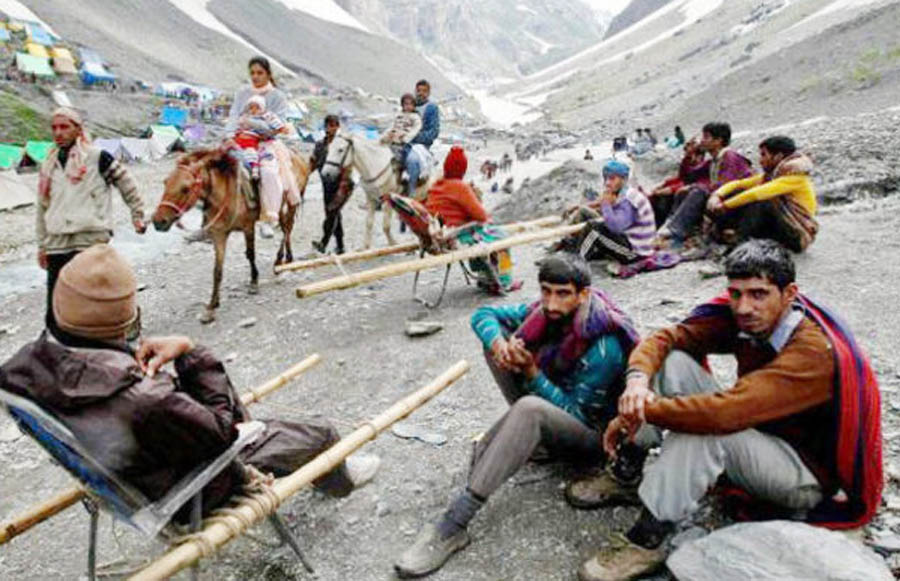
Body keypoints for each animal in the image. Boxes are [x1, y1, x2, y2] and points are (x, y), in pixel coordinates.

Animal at [151, 146, 310, 322]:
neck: (225, 194)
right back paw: (285, 259)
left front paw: (254, 282)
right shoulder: (219, 234)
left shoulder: (248, 227)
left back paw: (281, 260)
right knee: (286, 229)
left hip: (290, 204)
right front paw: (212, 306)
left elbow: (250, 254)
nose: (158, 221)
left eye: (185, 188)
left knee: (287, 229)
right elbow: (217, 271)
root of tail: (297, 157)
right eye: (165, 182)